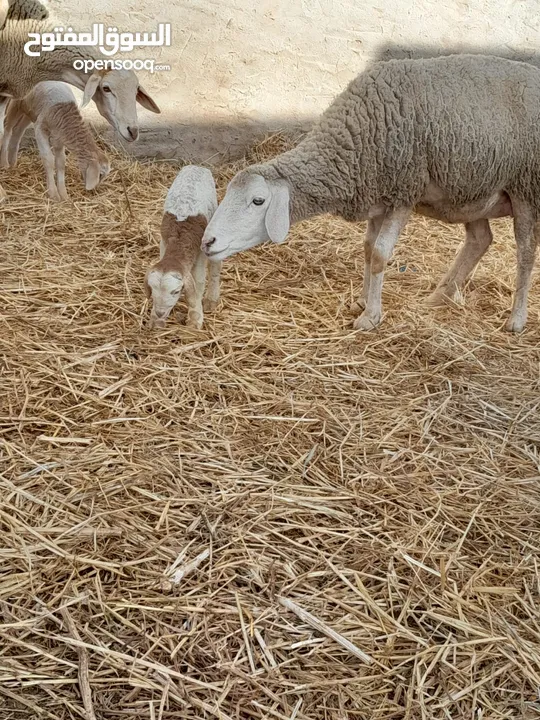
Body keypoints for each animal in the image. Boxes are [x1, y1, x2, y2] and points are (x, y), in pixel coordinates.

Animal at [144, 165, 220, 330]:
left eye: (176, 291)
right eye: (152, 289)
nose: (160, 312)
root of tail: (197, 166)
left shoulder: (199, 253)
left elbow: (198, 282)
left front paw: (195, 319)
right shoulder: (164, 245)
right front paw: (155, 320)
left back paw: (212, 299)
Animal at [201, 54, 540, 334]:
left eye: (258, 200)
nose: (208, 242)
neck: (353, 136)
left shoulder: (404, 191)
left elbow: (379, 253)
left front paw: (371, 317)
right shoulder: (379, 197)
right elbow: (366, 248)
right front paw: (363, 302)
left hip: (525, 187)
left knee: (525, 253)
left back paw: (516, 320)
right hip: (471, 191)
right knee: (481, 239)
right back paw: (439, 296)